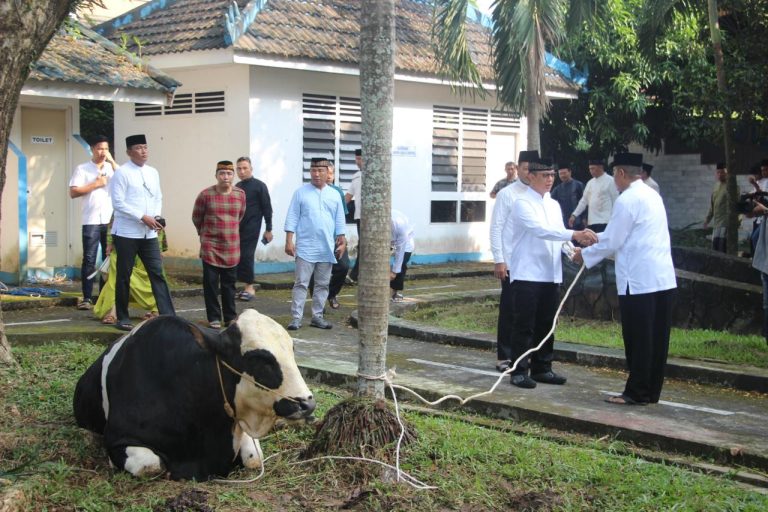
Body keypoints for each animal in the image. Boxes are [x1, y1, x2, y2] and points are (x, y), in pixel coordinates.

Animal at [71, 308, 312, 480]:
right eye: (259, 359)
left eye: (292, 351)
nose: (307, 404)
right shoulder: (117, 438)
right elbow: (151, 466)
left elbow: (254, 459)